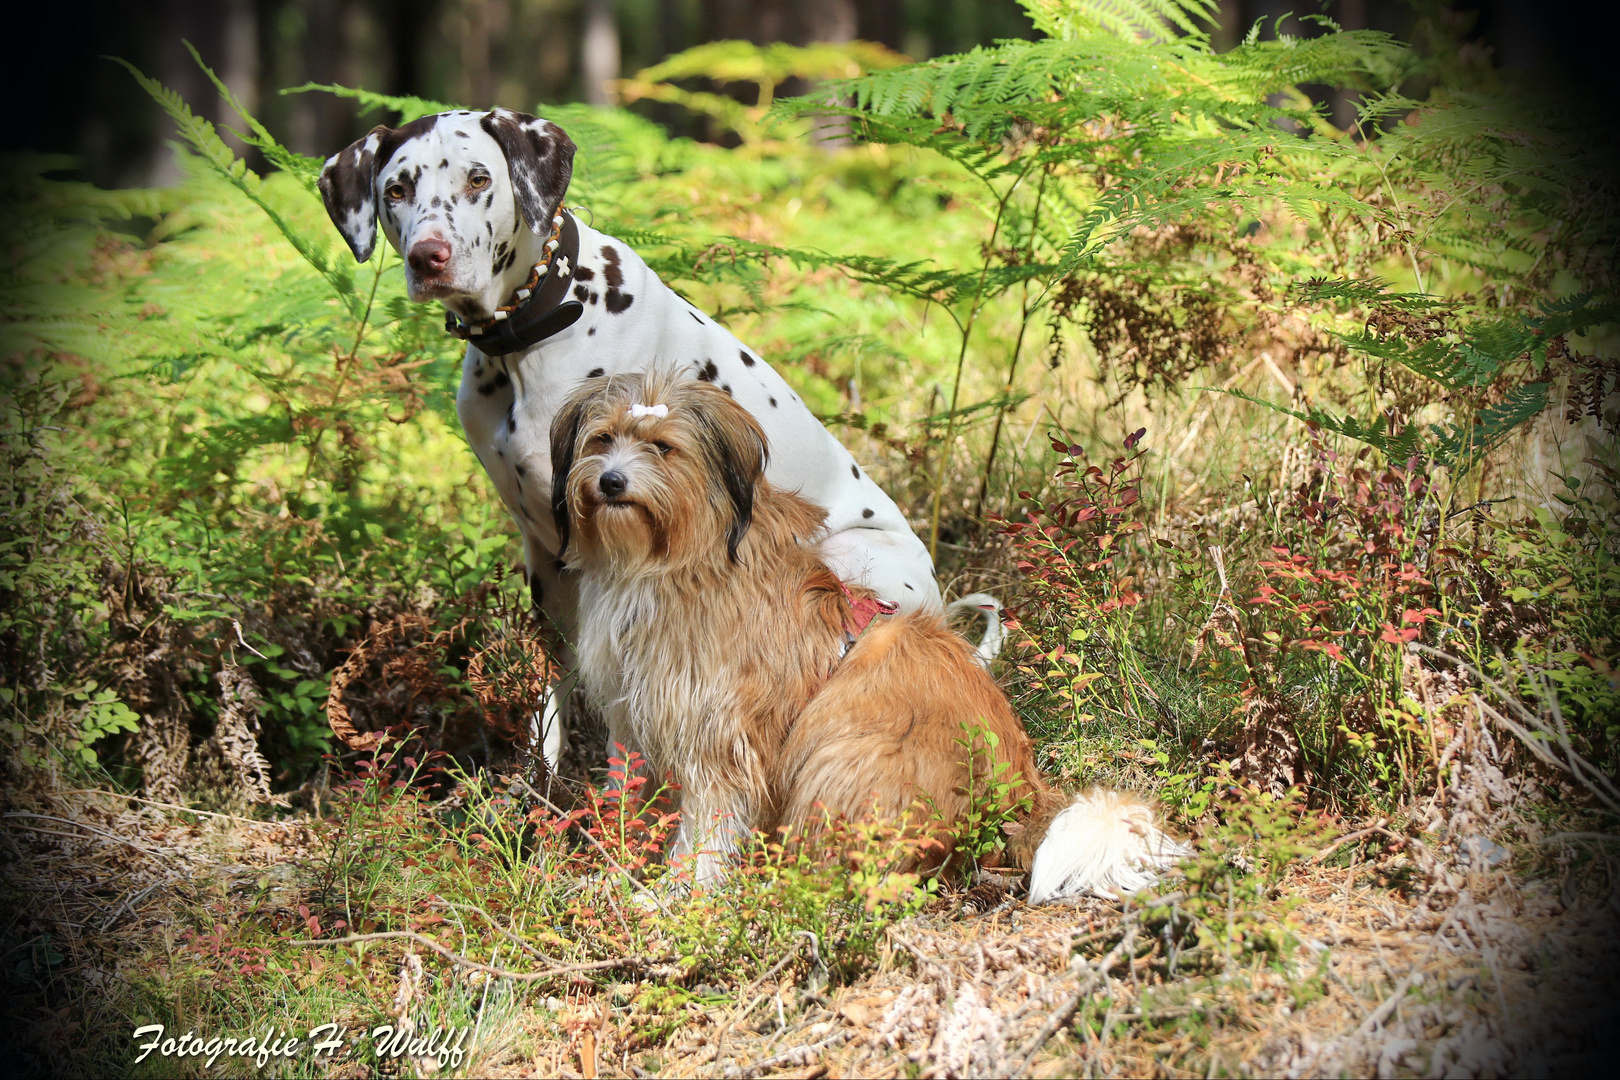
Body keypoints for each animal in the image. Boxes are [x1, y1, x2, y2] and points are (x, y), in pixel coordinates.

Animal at [314, 110, 978, 767]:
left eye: (479, 179)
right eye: (396, 190)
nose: (430, 256)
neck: (540, 327)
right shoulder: (546, 554)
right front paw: (541, 784)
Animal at [550, 369, 1185, 893]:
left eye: (662, 447)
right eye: (602, 439)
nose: (610, 482)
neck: (676, 558)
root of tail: (1019, 796)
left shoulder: (722, 739)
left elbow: (706, 834)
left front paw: (675, 897)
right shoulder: (643, 719)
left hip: (842, 745)